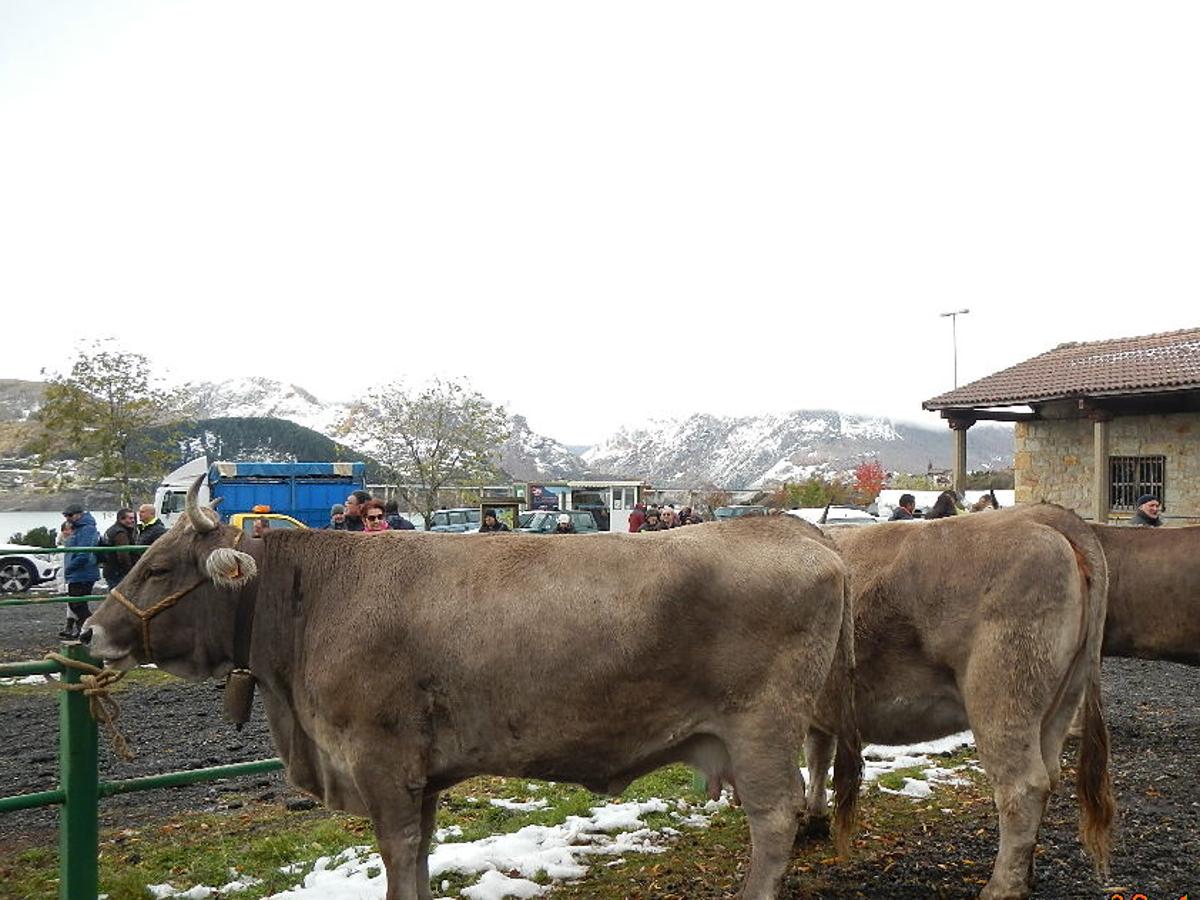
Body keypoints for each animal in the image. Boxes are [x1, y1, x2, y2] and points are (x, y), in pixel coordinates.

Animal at [84, 480, 859, 900]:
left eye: (157, 568)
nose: (90, 631)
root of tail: (799, 532)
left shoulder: (380, 759)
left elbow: (398, 854)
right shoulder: (420, 772)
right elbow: (421, 852)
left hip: (761, 725)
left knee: (775, 814)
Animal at [806, 508, 1113, 900]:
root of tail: (1040, 516)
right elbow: (818, 757)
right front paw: (813, 817)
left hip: (1001, 695)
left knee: (1023, 787)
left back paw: (1002, 887)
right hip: (1062, 701)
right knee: (1050, 774)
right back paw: (1026, 875)